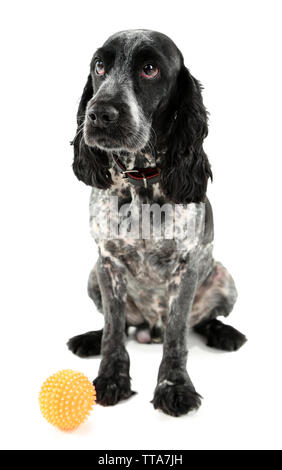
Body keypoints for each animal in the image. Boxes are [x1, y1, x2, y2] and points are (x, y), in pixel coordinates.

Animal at [67, 29, 246, 414]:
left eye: (150, 69)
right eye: (99, 65)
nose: (98, 113)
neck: (141, 181)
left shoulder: (186, 268)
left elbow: (178, 336)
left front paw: (174, 386)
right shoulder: (108, 263)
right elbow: (113, 330)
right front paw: (111, 378)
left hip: (224, 278)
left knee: (205, 321)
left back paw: (225, 334)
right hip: (92, 276)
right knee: (119, 325)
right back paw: (89, 339)